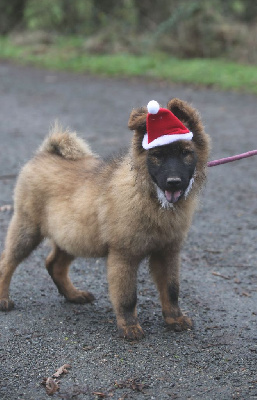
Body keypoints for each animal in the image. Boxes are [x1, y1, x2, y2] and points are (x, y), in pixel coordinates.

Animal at [0, 98, 209, 340]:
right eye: (157, 156)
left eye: (186, 153)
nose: (173, 182)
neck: (151, 198)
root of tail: (46, 153)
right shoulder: (123, 255)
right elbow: (128, 297)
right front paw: (129, 326)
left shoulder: (167, 252)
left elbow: (171, 289)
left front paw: (175, 318)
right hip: (27, 227)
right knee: (7, 261)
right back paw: (3, 299)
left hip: (72, 235)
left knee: (54, 264)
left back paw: (74, 295)